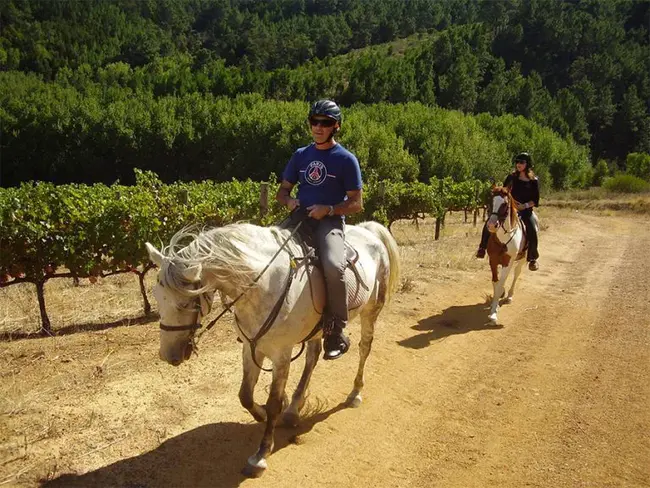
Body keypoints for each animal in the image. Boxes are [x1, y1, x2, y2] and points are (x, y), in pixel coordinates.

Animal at [145, 220, 398, 476]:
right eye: (156, 296)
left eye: (185, 303)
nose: (168, 355)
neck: (262, 285)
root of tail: (369, 230)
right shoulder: (251, 348)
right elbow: (245, 396)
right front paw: (264, 413)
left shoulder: (281, 354)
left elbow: (274, 402)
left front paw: (261, 453)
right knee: (312, 358)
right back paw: (294, 409)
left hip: (371, 311)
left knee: (364, 349)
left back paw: (354, 393)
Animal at [484, 188, 536, 324]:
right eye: (490, 200)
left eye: (504, 204)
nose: (491, 225)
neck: (503, 238)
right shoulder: (493, 260)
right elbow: (496, 282)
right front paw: (496, 302)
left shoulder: (508, 261)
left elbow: (501, 283)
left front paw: (493, 314)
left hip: (522, 259)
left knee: (516, 274)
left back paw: (510, 296)